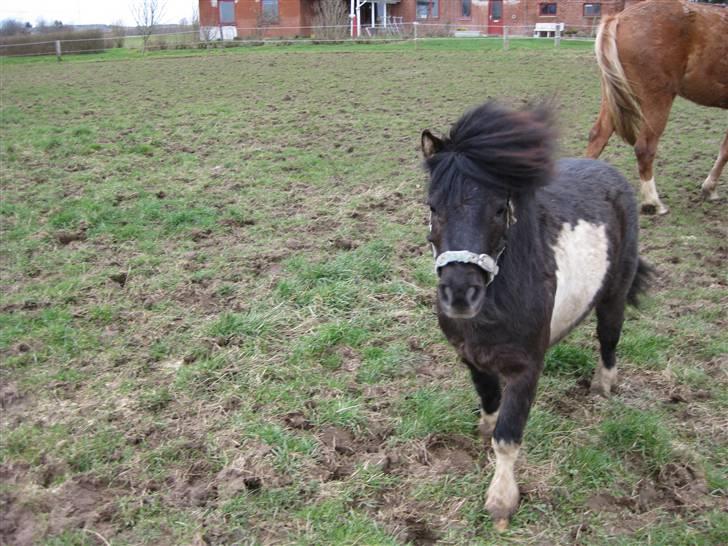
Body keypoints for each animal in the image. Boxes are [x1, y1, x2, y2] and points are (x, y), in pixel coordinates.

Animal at [418, 101, 652, 528]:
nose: (460, 294)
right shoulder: (472, 358)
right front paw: (484, 435)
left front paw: (501, 501)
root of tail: (610, 173)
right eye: (433, 207)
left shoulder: (526, 368)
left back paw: (603, 386)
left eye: (499, 209)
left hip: (614, 296)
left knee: (609, 338)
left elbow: (508, 436)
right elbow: (489, 405)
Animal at [584, 0, 728, 212]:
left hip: (610, 100)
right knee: (644, 148)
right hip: (658, 100)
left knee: (597, 137)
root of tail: (619, 18)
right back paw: (653, 202)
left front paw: (709, 189)